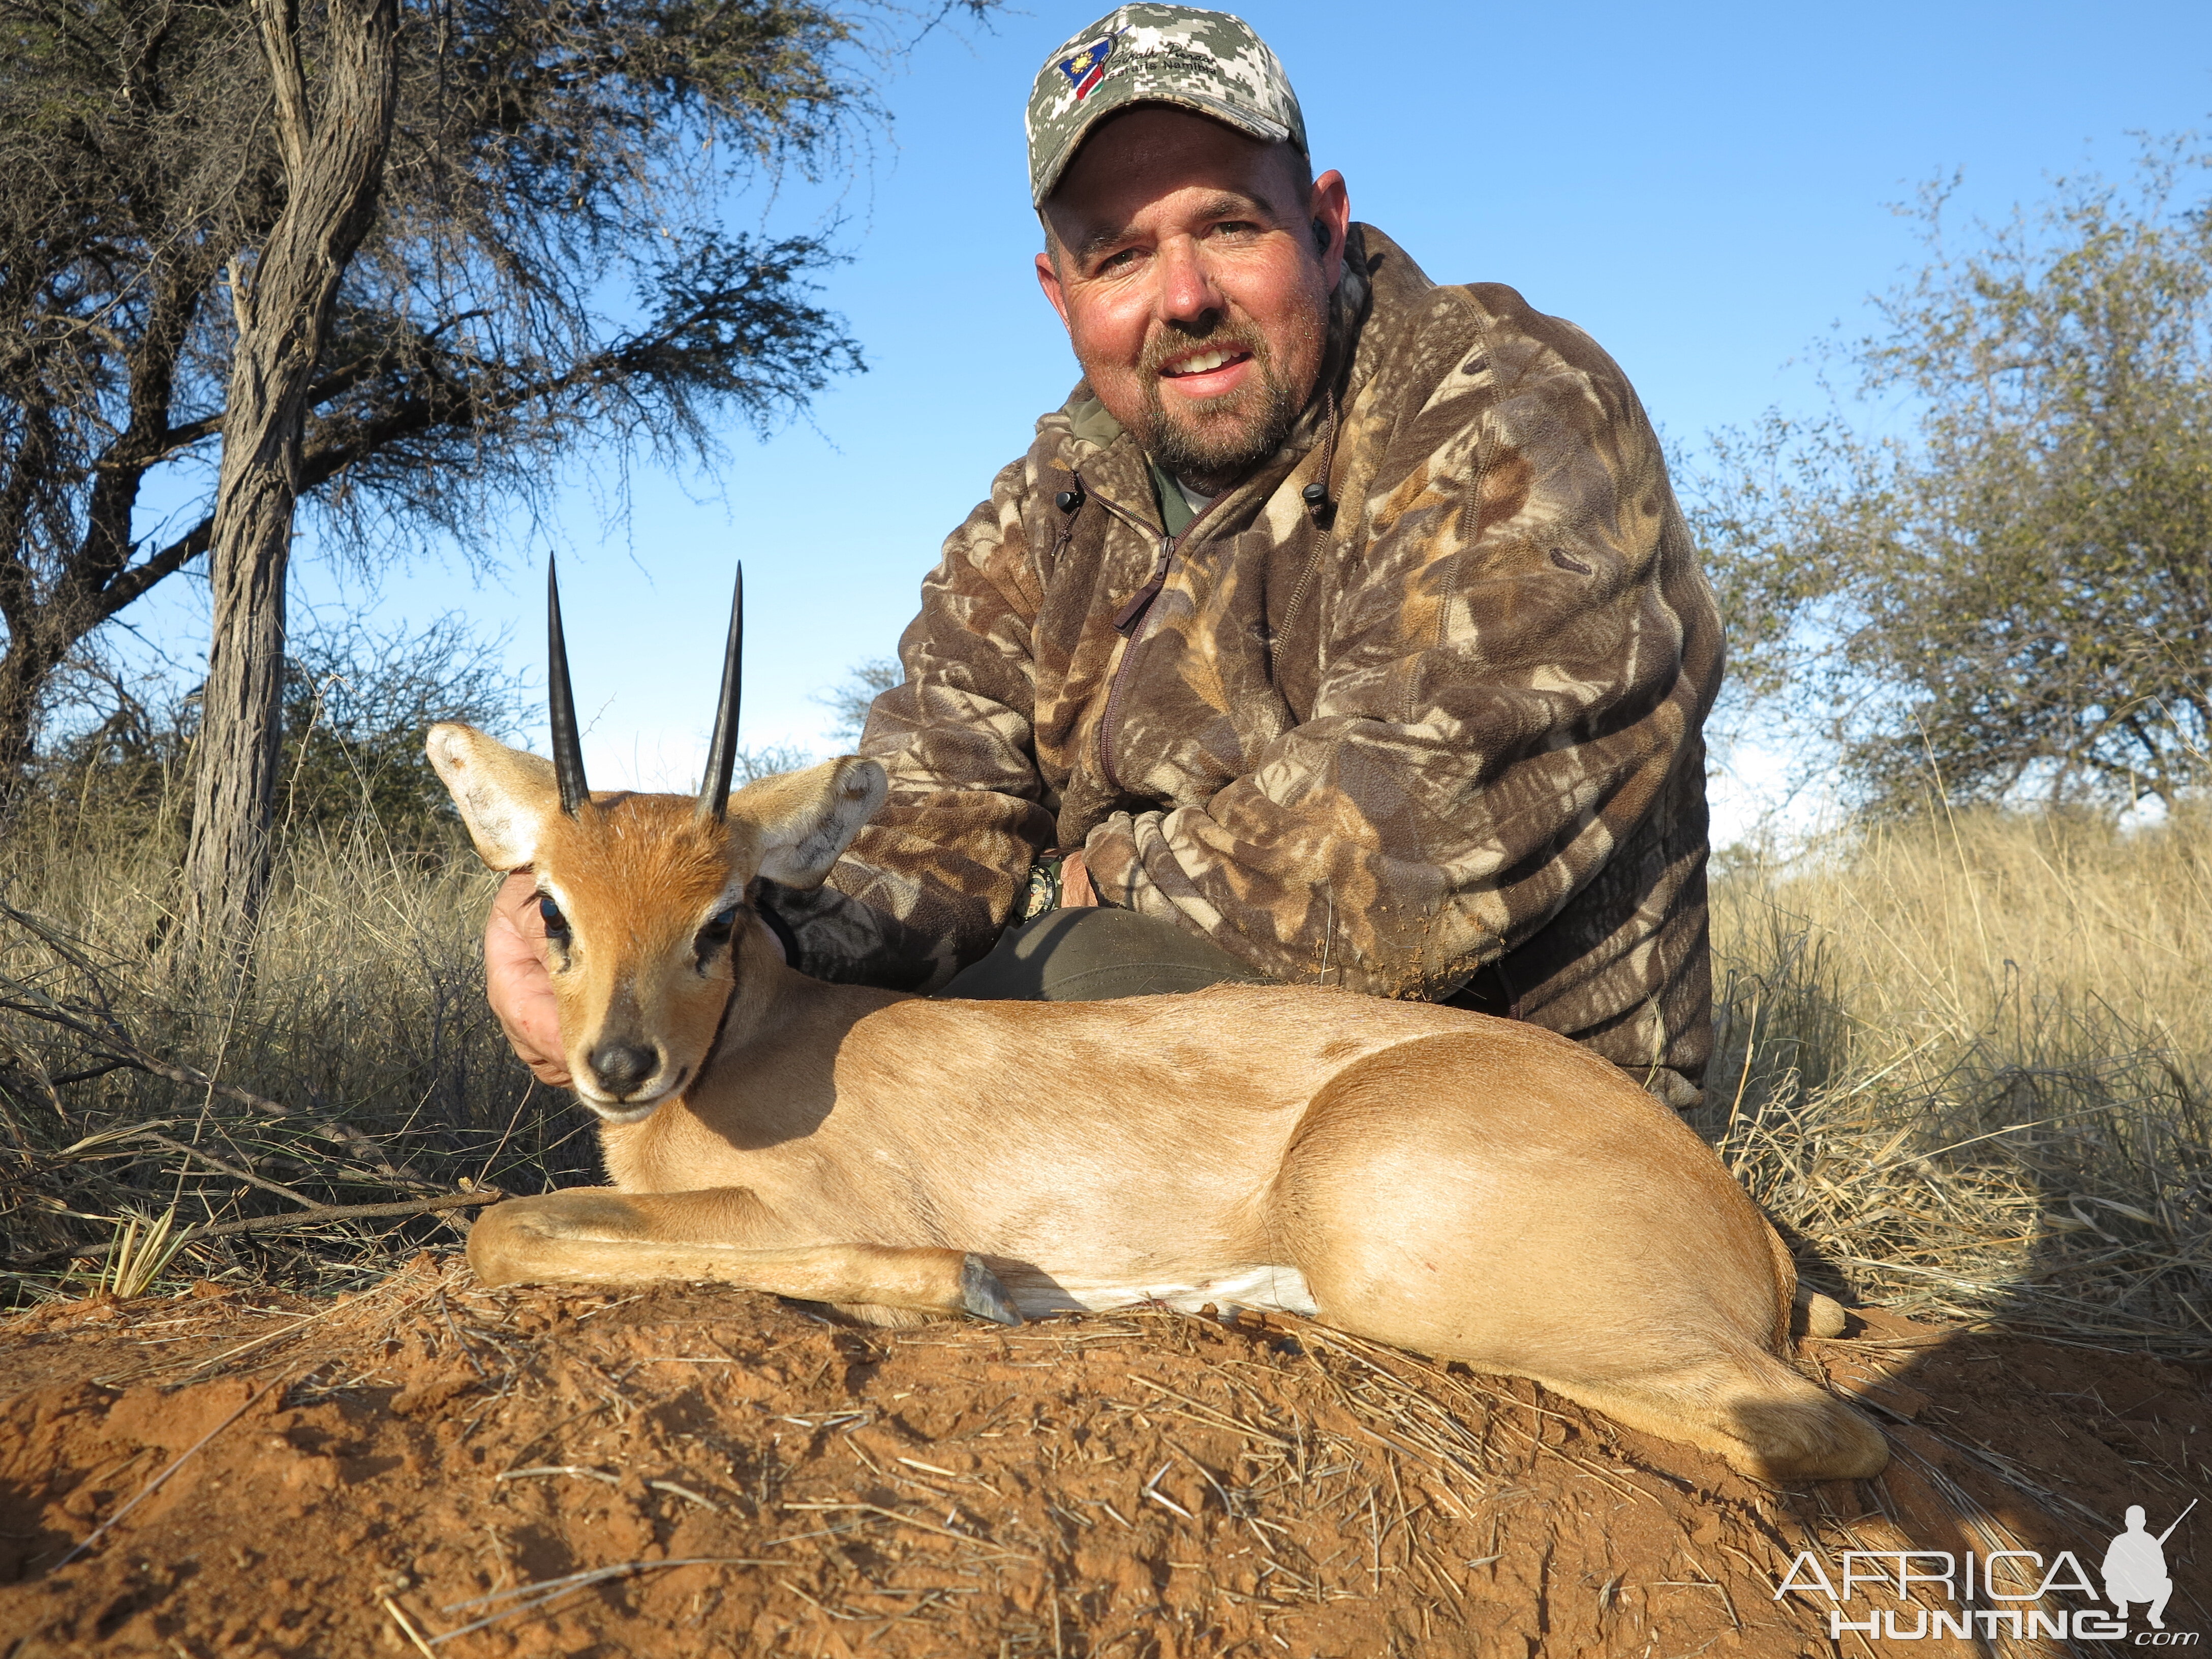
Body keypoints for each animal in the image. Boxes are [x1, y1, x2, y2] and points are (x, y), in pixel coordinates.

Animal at [431, 566, 1884, 1486]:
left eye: (720, 916)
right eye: (552, 906)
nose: (620, 1065)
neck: (748, 1051)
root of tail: (1738, 1213)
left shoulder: (788, 1209)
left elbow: (504, 1231)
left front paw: (962, 1285)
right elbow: (512, 1223)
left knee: (1815, 1429)